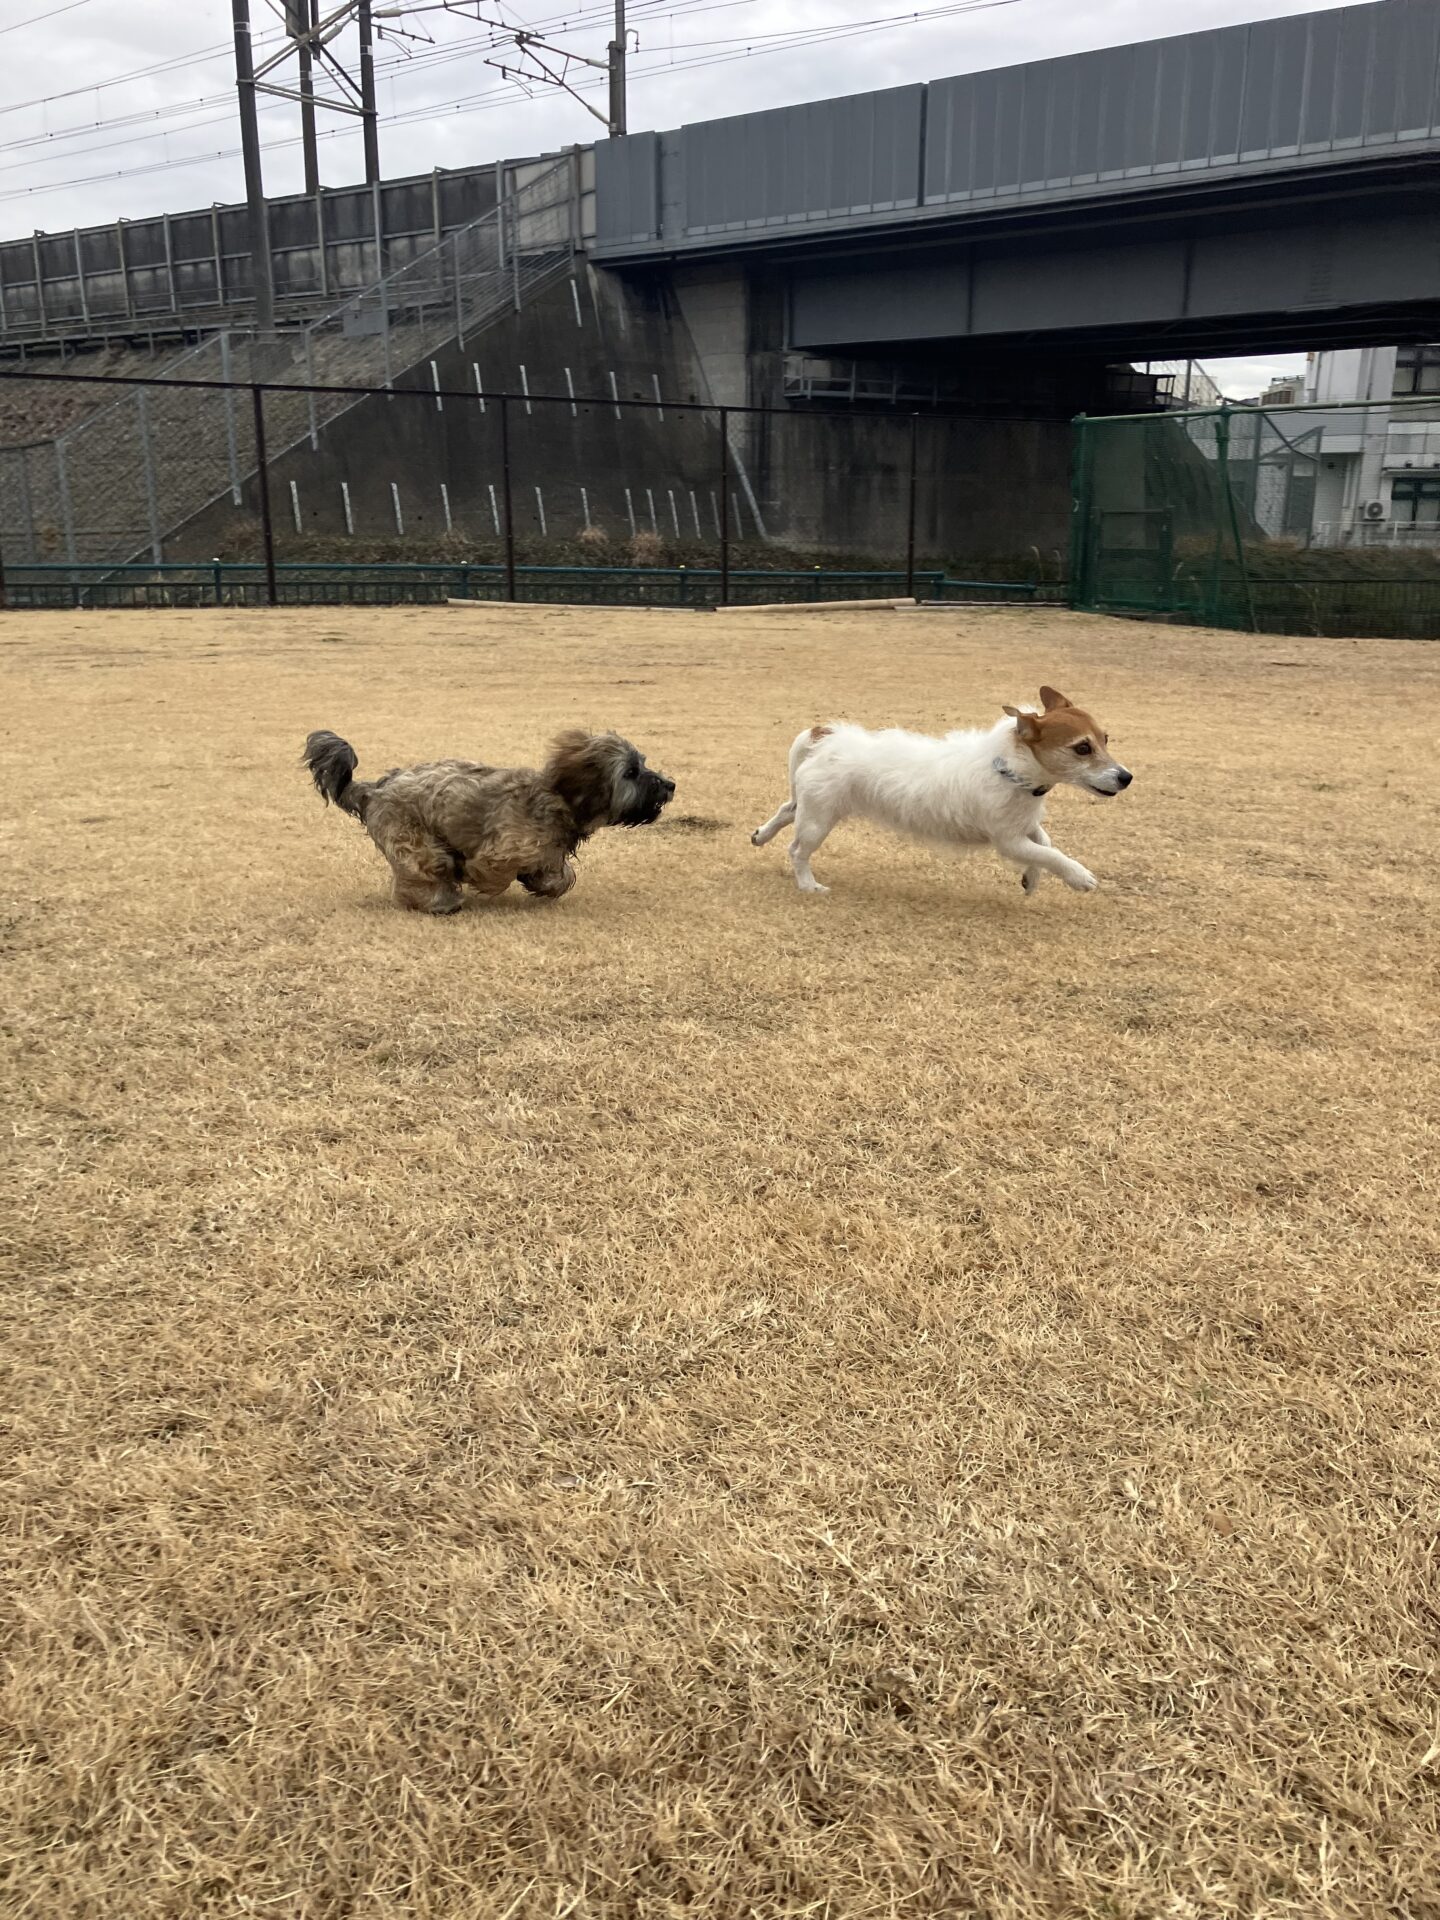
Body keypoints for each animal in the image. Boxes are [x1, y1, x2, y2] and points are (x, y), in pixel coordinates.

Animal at [304, 728, 674, 913]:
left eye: (643, 763)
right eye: (631, 772)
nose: (670, 785)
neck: (557, 798)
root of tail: (374, 787)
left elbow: (561, 876)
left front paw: (541, 883)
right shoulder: (502, 850)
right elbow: (491, 873)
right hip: (414, 840)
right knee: (425, 871)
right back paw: (441, 902)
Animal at [751, 686, 1131, 896]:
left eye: (1106, 739)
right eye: (1082, 748)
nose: (1126, 777)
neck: (1009, 768)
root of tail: (826, 735)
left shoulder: (1024, 826)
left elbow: (1046, 846)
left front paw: (1031, 880)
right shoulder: (1008, 840)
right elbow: (1051, 855)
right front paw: (1079, 877)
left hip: (811, 806)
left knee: (786, 810)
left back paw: (761, 835)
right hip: (819, 820)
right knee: (797, 850)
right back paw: (808, 885)